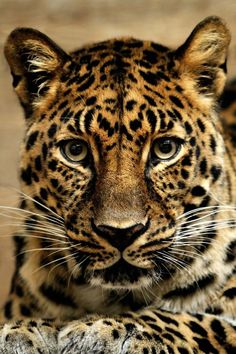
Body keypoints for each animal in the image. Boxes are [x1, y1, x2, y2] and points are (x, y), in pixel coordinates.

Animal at [0, 15, 236, 354]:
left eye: (166, 148)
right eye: (75, 151)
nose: (121, 233)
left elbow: (191, 320)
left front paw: (103, 330)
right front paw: (24, 329)